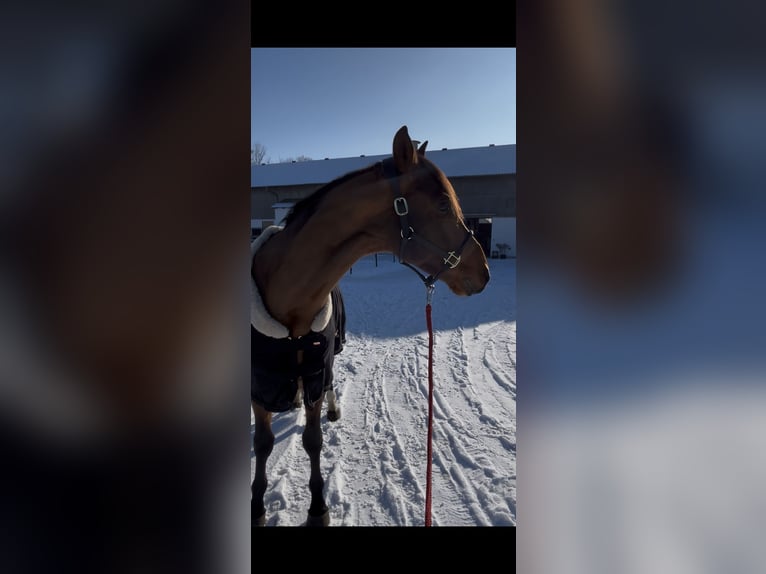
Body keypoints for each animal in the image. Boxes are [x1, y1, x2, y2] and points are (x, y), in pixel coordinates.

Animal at [251, 125, 490, 526]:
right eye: (443, 204)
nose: (484, 272)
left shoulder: (315, 373)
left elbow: (313, 439)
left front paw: (318, 508)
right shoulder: (260, 385)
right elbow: (263, 443)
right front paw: (256, 506)